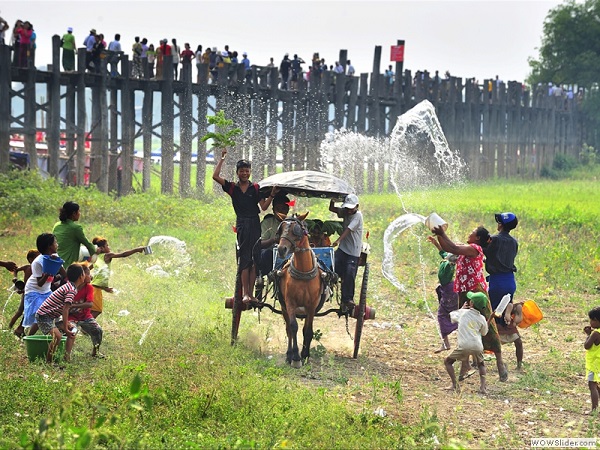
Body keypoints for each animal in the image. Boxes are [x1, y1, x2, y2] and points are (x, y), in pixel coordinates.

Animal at [276, 213, 324, 368]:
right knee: (289, 330)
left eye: (296, 230)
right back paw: (289, 355)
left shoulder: (312, 306)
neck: (303, 272)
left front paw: (305, 355)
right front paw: (296, 357)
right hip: (284, 307)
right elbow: (293, 327)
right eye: (281, 229)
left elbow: (307, 331)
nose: (281, 249)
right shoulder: (290, 303)